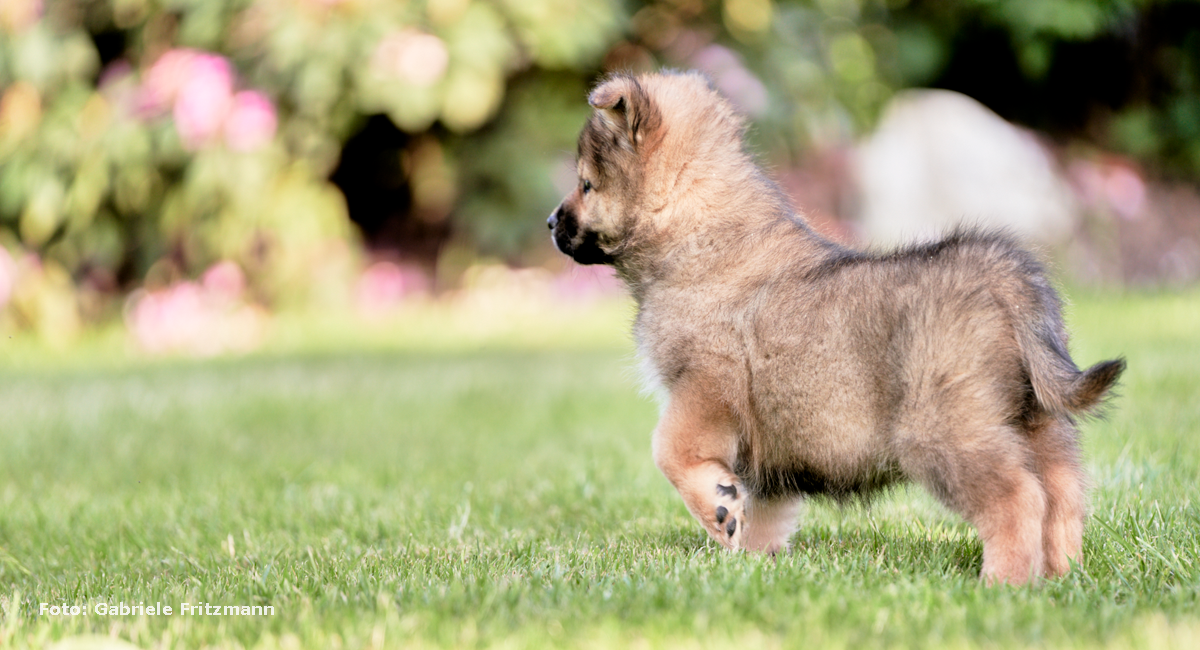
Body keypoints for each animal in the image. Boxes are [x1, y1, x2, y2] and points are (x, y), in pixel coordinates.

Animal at [547, 71, 1123, 585]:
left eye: (586, 184)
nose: (551, 223)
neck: (699, 234)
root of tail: (1007, 278)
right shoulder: (767, 441)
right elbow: (767, 507)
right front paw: (752, 560)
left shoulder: (705, 386)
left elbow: (668, 450)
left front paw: (719, 509)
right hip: (1039, 424)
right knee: (1062, 496)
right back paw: (1060, 578)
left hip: (944, 430)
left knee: (1017, 498)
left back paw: (1003, 584)